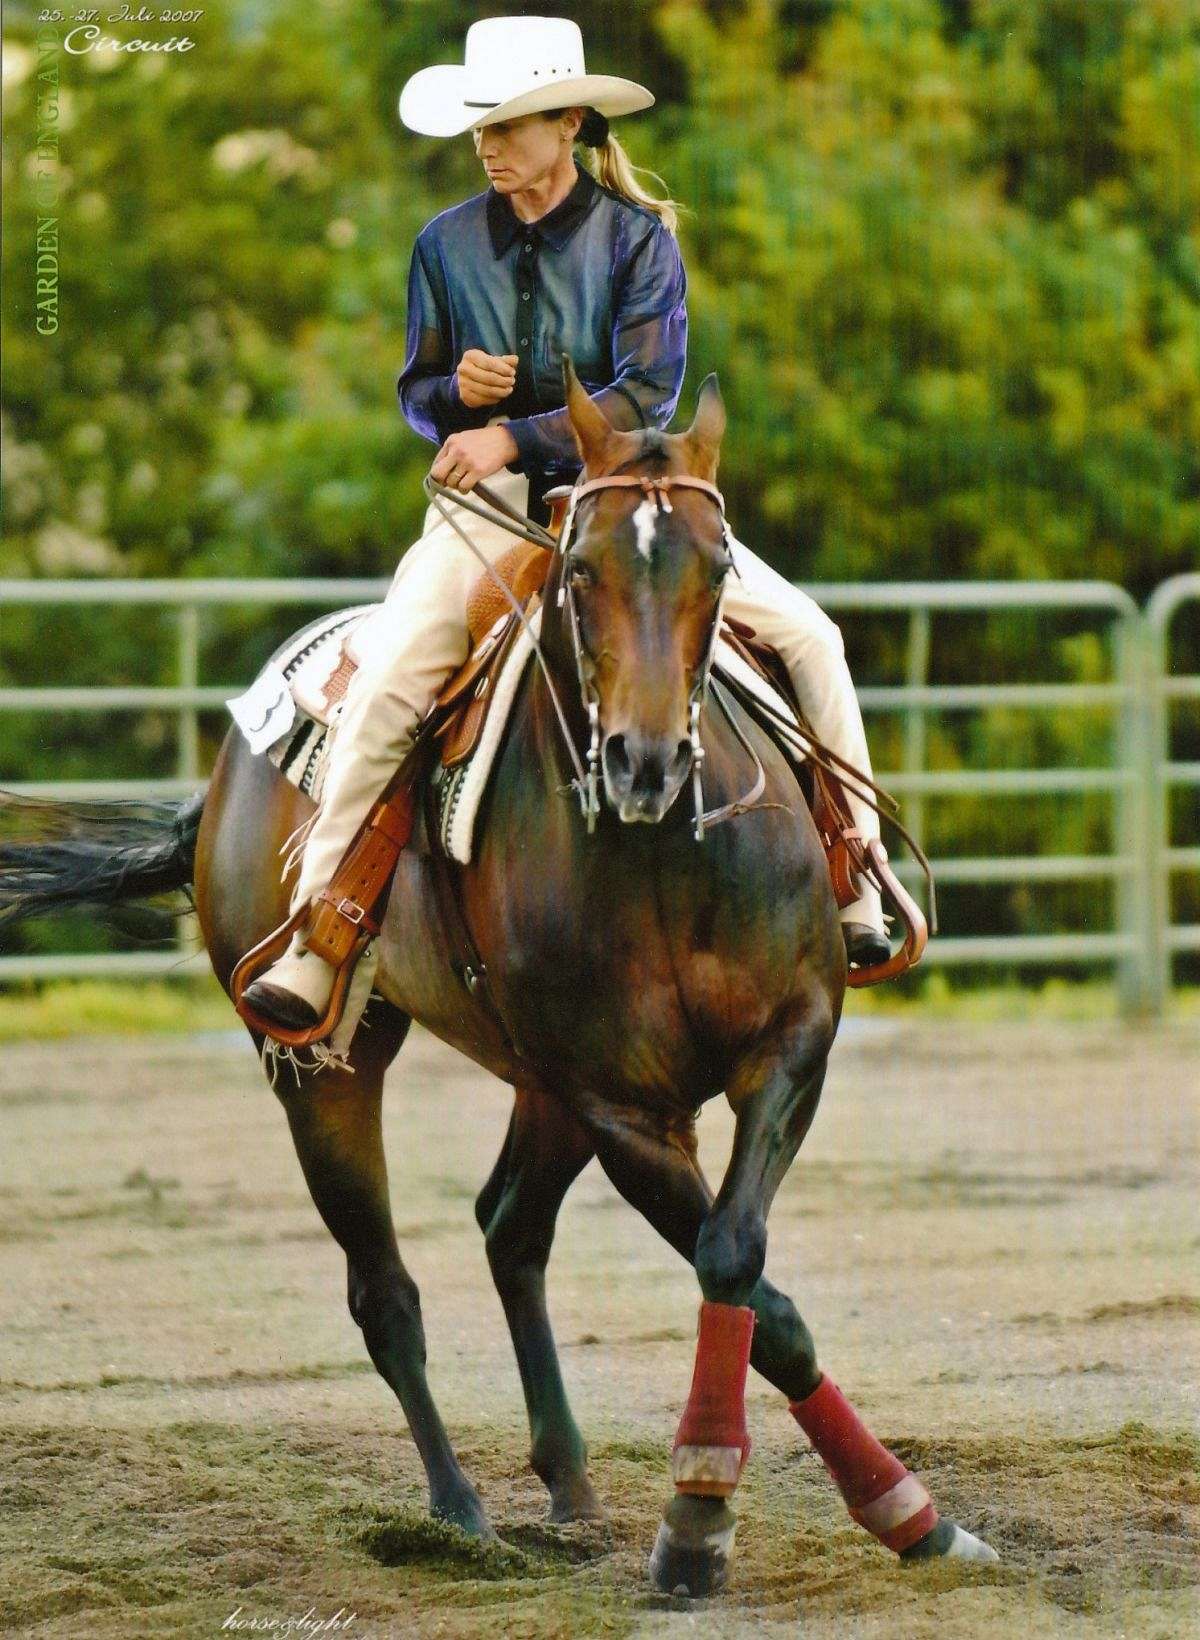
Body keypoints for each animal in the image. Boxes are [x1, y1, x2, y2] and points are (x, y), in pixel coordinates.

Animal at [0, 363, 997, 1595]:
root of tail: (221, 782)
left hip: (537, 1084)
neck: (661, 856)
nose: (645, 762)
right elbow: (752, 1289)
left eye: (718, 565)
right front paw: (698, 1521)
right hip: (329, 1074)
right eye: (582, 569)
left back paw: (567, 1481)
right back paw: (458, 1514)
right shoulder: (624, 1108)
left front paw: (907, 1515)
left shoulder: (789, 1045)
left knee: (510, 1227)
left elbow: (742, 1263)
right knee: (386, 1293)